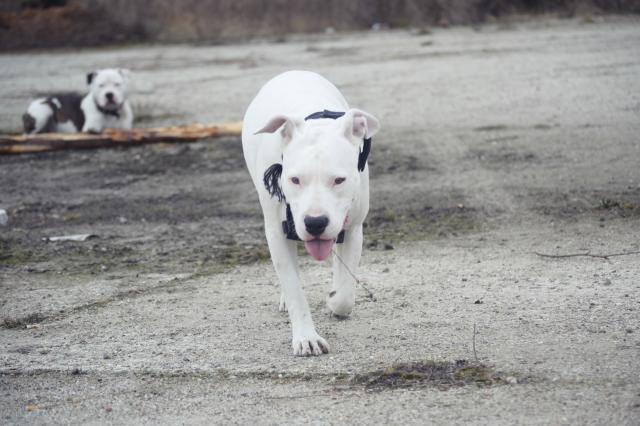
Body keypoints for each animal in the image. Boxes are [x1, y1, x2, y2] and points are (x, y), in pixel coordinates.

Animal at [240, 70, 380, 356]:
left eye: (339, 180)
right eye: (294, 179)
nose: (315, 222)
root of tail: (293, 72)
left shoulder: (353, 227)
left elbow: (345, 294)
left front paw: (335, 298)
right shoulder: (276, 232)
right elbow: (294, 287)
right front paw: (306, 337)